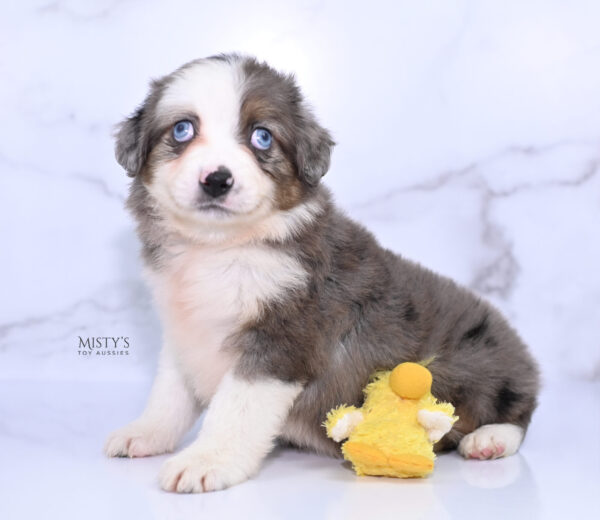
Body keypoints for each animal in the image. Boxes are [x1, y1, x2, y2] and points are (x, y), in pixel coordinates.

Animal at [105, 53, 540, 492]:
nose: (217, 180)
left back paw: (490, 439)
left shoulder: (283, 340)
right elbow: (170, 394)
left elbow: (235, 408)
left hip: (475, 363)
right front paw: (145, 433)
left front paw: (206, 460)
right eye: (182, 129)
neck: (218, 248)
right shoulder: (184, 329)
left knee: (518, 411)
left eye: (262, 137)